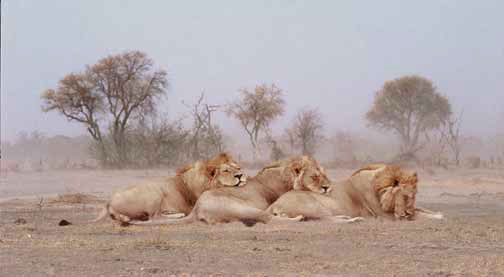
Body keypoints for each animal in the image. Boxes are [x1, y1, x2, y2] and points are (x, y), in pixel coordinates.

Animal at [93, 152, 248, 225]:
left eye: (238, 168)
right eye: (226, 171)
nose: (240, 175)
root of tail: (108, 201)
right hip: (153, 192)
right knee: (154, 217)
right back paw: (177, 215)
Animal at [132, 154, 332, 225]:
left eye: (325, 173)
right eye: (315, 176)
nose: (328, 187)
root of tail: (197, 208)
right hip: (242, 208)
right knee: (266, 217)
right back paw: (296, 218)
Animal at [266, 163, 442, 223]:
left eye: (415, 195)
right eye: (404, 196)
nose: (407, 212)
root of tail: (274, 204)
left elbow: (422, 210)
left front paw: (437, 213)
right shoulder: (384, 215)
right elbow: (419, 215)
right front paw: (435, 217)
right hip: (313, 206)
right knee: (327, 220)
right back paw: (354, 220)